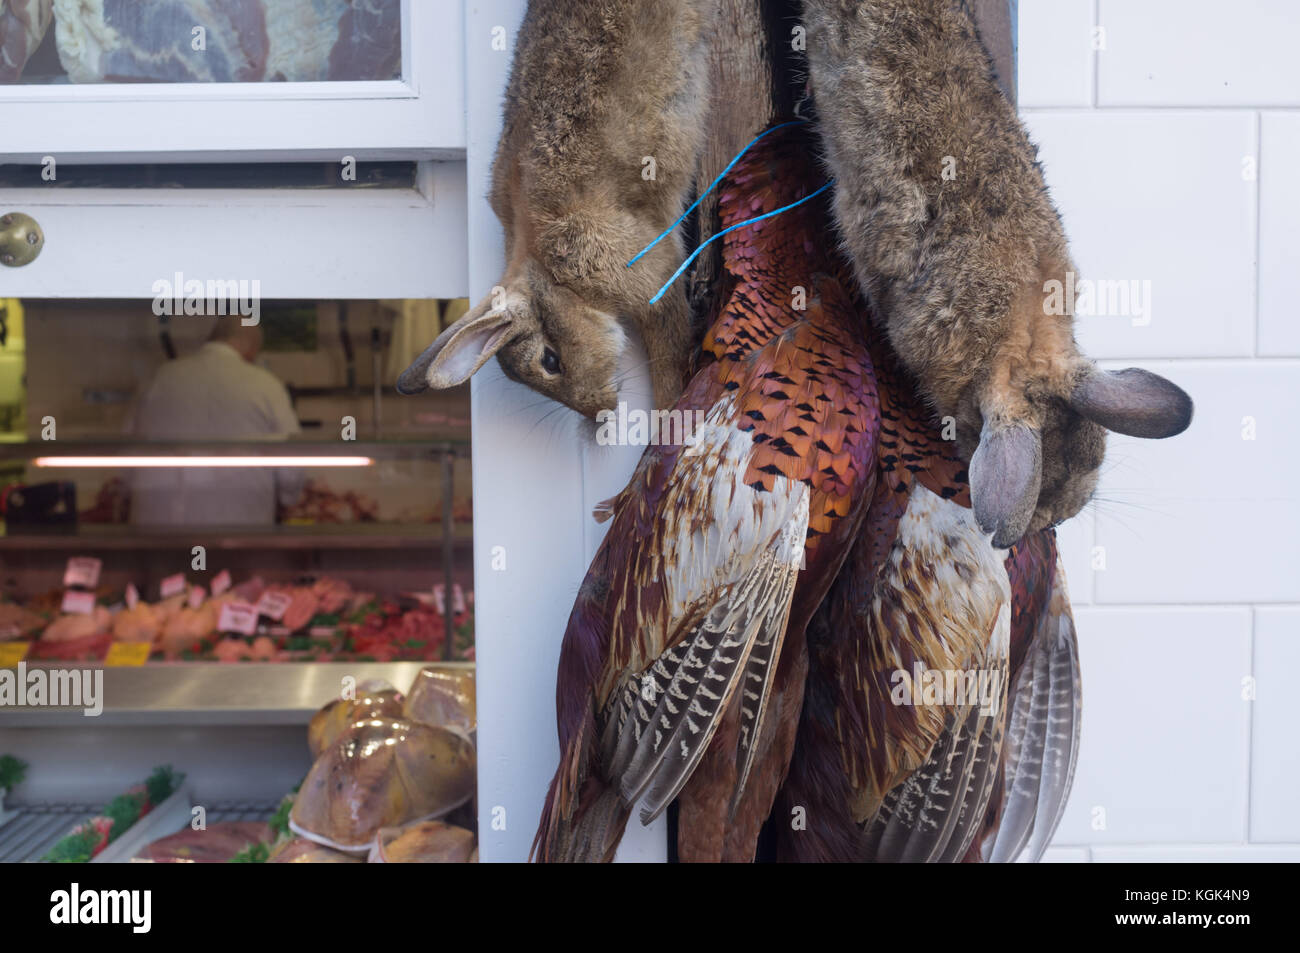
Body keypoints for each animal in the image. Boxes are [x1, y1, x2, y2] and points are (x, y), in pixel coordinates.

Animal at [396, 0, 722, 418]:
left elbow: (671, 358)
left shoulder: (652, 276)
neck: (550, 273)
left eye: (550, 361)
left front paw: (671, 416)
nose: (601, 411)